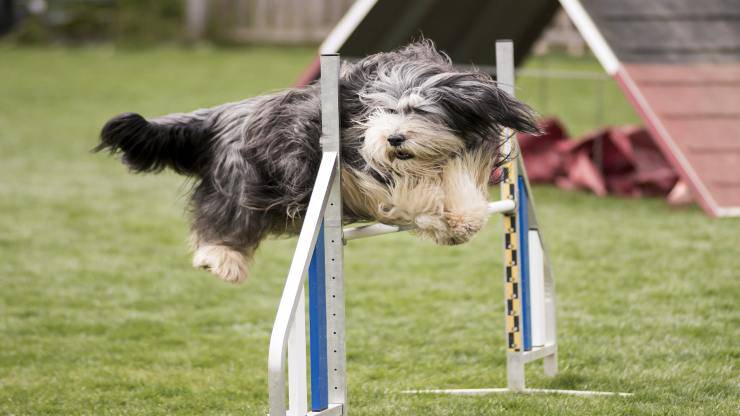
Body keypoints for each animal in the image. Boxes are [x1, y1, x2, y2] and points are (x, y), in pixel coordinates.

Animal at [97, 41, 536, 282]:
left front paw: (461, 220)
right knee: (223, 220)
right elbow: (409, 196)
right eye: (382, 110)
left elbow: (460, 188)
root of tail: (223, 114)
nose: (393, 138)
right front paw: (440, 218)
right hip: (245, 182)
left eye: (418, 110)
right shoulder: (360, 167)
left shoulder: (464, 156)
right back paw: (220, 259)